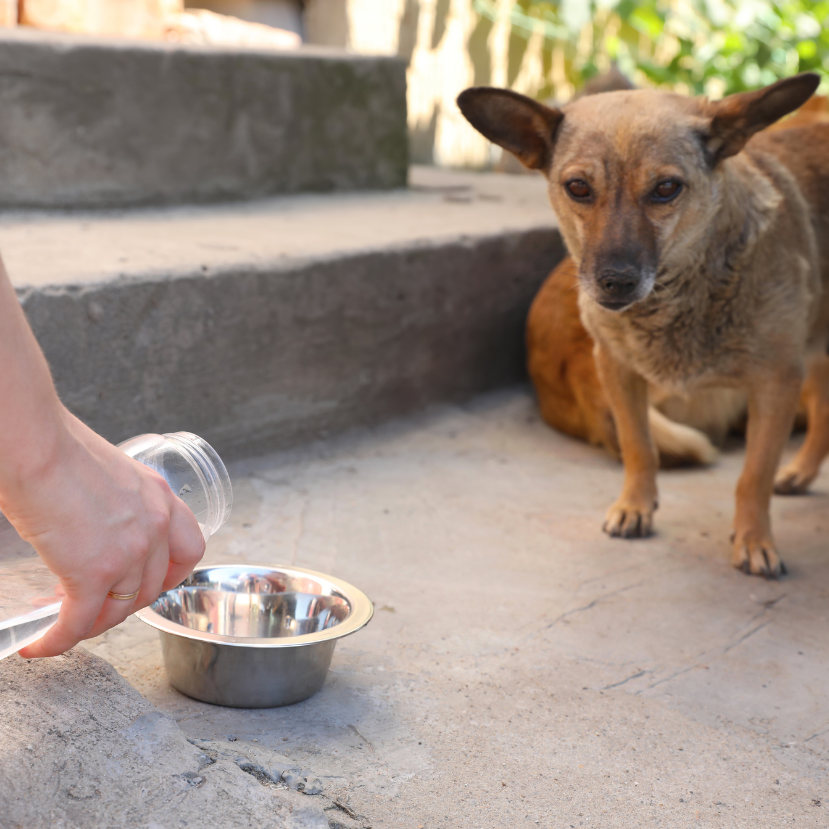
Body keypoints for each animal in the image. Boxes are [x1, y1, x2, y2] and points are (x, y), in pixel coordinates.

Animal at [460, 76, 828, 576]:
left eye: (666, 188)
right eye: (578, 187)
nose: (615, 281)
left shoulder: (778, 383)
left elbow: (753, 474)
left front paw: (754, 539)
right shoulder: (616, 368)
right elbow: (638, 446)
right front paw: (635, 506)